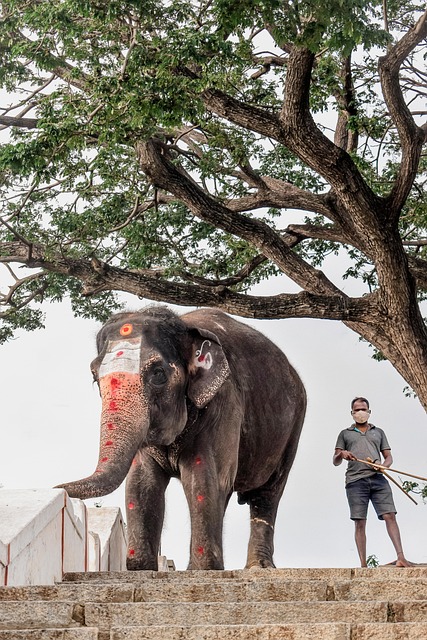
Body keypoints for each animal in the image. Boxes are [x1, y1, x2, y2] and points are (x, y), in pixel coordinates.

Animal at [57, 305, 306, 570]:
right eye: (95, 376)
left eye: (158, 373)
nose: (57, 487)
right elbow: (141, 481)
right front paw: (141, 568)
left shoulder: (224, 402)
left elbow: (202, 476)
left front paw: (204, 570)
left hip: (294, 426)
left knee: (267, 494)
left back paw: (259, 566)